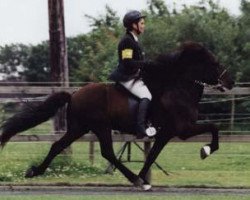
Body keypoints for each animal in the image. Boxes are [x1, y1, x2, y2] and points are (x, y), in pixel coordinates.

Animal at [0, 41, 234, 190]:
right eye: (215, 64)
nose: (230, 82)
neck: (179, 88)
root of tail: (74, 94)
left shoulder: (166, 133)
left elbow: (152, 155)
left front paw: (144, 178)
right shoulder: (183, 129)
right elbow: (214, 127)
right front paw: (206, 150)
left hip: (79, 128)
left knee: (58, 146)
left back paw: (34, 172)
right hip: (100, 127)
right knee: (108, 153)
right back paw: (132, 179)